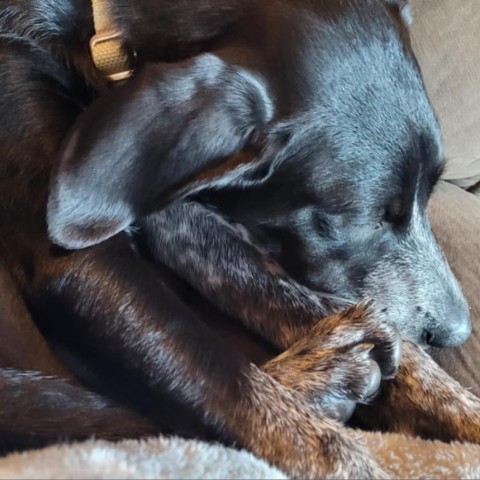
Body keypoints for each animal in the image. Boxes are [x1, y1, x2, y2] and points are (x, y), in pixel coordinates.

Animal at [0, 0, 480, 478]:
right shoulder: (77, 259)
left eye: (432, 189)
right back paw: (326, 375)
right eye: (364, 221)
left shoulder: (174, 205)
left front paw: (459, 407)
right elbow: (252, 402)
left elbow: (277, 287)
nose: (458, 331)